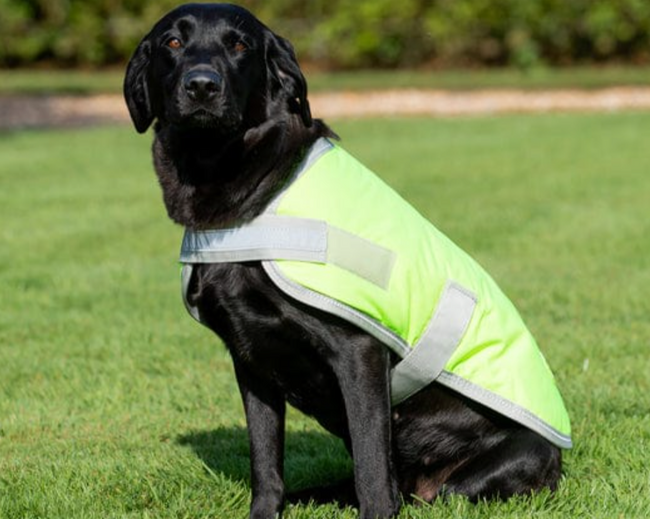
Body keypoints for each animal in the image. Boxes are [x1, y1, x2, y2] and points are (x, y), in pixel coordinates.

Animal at [124, 5, 560, 519]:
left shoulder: (358, 352)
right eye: (172, 43)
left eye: (239, 45)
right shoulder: (250, 362)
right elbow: (265, 461)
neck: (251, 194)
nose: (202, 86)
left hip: (494, 467)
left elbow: (372, 473)